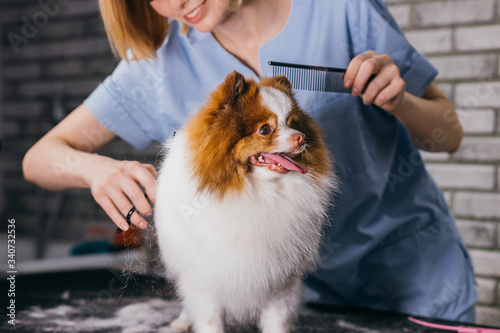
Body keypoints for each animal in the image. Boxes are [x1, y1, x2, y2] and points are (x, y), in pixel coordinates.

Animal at [155, 71, 336, 330]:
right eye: (265, 129)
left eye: (292, 123)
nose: (301, 137)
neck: (257, 191)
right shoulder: (204, 280)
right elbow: (210, 321)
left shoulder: (281, 282)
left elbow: (277, 323)